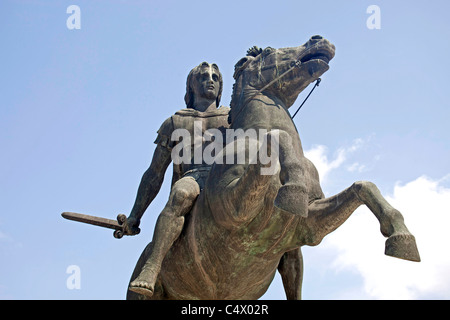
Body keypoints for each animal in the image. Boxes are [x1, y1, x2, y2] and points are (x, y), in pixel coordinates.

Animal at [125, 35, 418, 300]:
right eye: (267, 51)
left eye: (214, 77)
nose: (319, 40)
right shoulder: (232, 206)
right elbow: (277, 136)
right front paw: (293, 188)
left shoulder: (311, 225)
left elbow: (363, 187)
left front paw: (401, 238)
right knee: (176, 207)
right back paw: (143, 280)